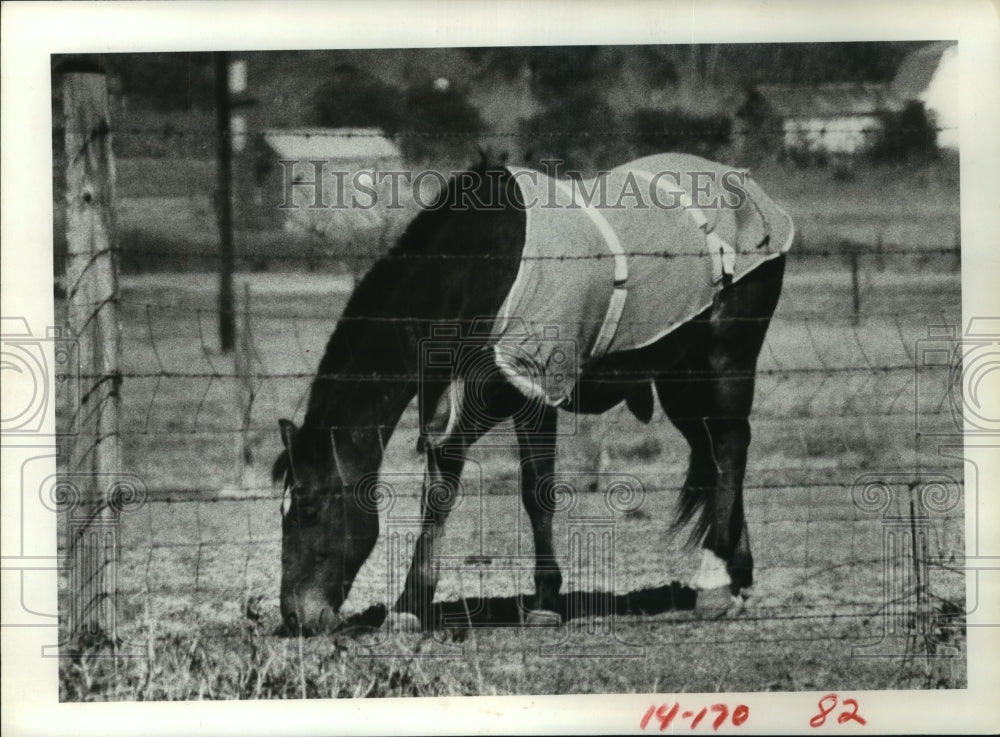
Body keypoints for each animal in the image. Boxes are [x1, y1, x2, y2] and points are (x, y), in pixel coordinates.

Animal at [272, 153, 793, 634]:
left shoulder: (534, 387)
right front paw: (410, 606)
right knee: (716, 451)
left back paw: (714, 581)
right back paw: (736, 574)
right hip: (681, 380)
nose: (298, 615)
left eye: (309, 508)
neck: (476, 271)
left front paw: (542, 600)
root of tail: (749, 190)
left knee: (731, 445)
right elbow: (440, 492)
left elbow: (532, 490)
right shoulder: (456, 408)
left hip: (725, 358)